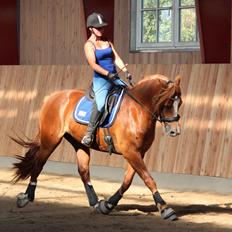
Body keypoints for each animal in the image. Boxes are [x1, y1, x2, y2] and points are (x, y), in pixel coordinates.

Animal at [11, 74, 182, 221]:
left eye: (179, 103)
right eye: (167, 103)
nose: (175, 131)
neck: (137, 110)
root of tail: (52, 97)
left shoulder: (139, 152)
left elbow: (127, 181)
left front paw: (107, 205)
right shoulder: (130, 152)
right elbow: (148, 179)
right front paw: (166, 209)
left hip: (79, 143)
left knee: (83, 171)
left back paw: (94, 203)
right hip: (50, 140)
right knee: (39, 164)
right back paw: (26, 197)